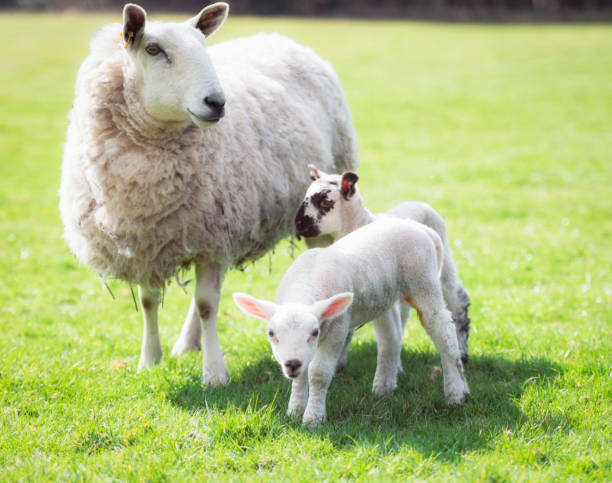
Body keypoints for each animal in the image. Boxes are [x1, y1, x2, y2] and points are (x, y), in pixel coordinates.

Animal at [58, 0, 358, 386]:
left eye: (203, 47)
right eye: (153, 49)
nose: (216, 102)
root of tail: (281, 37)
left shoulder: (213, 238)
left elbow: (207, 305)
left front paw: (215, 373)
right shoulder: (149, 241)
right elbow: (149, 302)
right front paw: (149, 360)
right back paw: (187, 344)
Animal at [233, 219, 468, 428]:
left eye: (314, 332)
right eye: (271, 333)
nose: (291, 363)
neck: (304, 289)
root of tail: (422, 229)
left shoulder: (338, 327)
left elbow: (318, 373)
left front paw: (313, 419)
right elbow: (300, 378)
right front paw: (294, 411)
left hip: (423, 282)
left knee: (444, 332)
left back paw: (456, 393)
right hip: (382, 296)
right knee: (391, 337)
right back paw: (384, 388)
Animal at [294, 164, 470, 364]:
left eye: (324, 202)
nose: (297, 224)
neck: (361, 223)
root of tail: (421, 203)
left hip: (440, 267)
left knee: (457, 301)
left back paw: (462, 351)